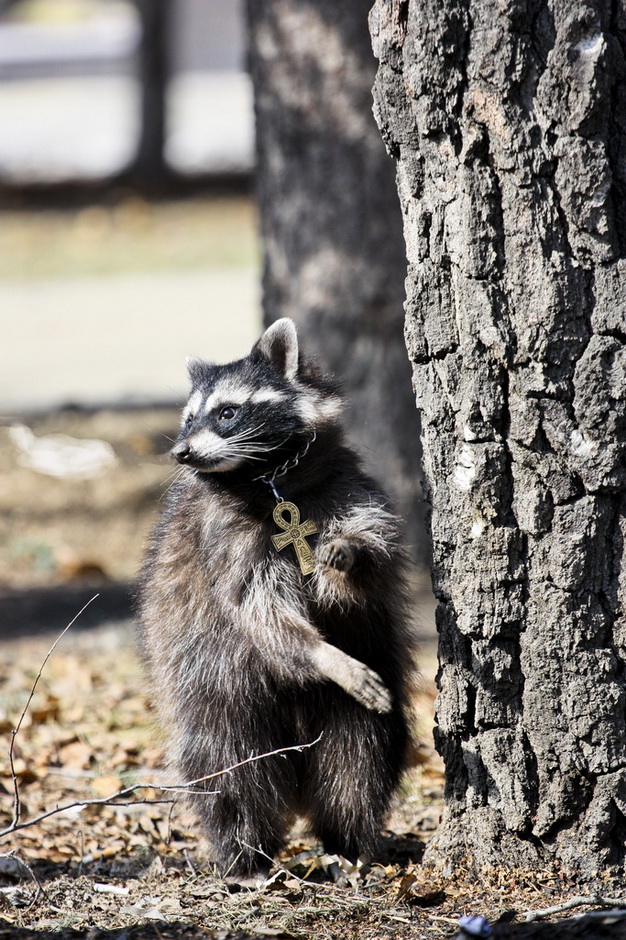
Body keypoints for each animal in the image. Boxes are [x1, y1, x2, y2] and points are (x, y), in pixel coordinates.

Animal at [135, 320, 414, 884]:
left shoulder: (350, 491)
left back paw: (348, 841)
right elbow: (259, 612)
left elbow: (371, 563)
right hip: (214, 688)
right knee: (228, 769)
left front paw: (350, 554)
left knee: (359, 762)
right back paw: (245, 853)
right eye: (188, 417)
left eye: (227, 412)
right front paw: (322, 655)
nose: (181, 453)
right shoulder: (223, 539)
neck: (270, 477)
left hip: (362, 694)